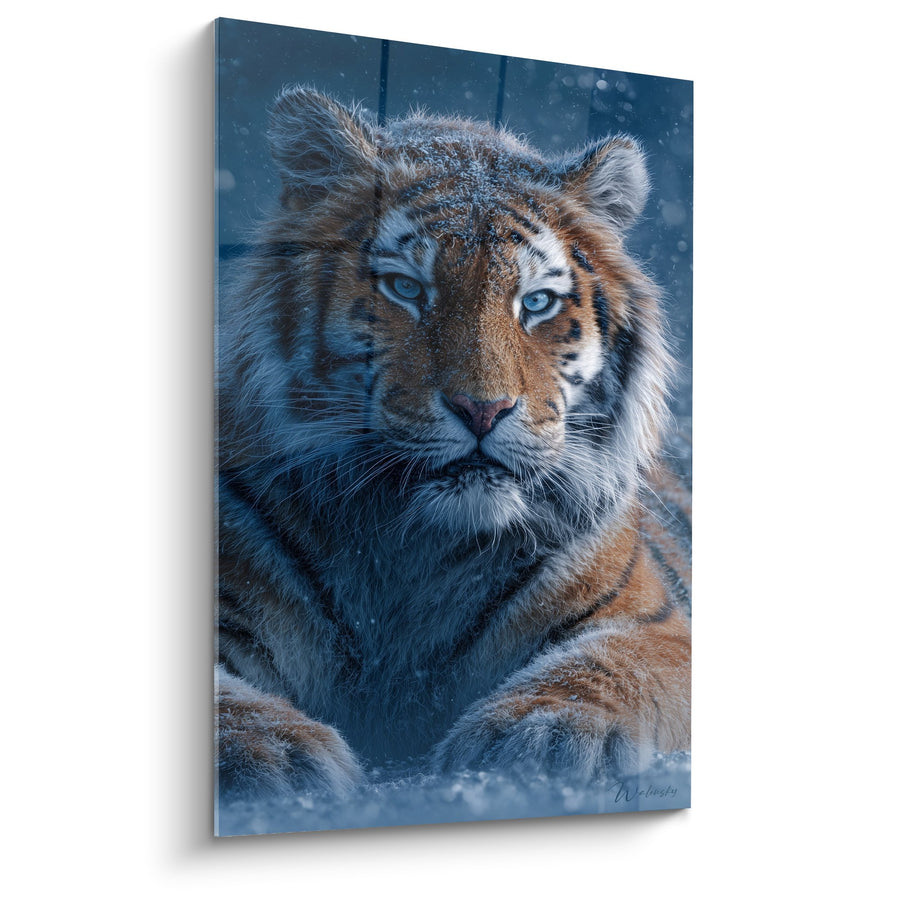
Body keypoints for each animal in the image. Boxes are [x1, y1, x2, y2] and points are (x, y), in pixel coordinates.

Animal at [216, 86, 691, 801]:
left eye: (537, 303)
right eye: (406, 288)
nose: (482, 409)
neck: (412, 546)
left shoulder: (652, 623)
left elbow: (604, 668)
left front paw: (542, 733)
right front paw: (274, 750)